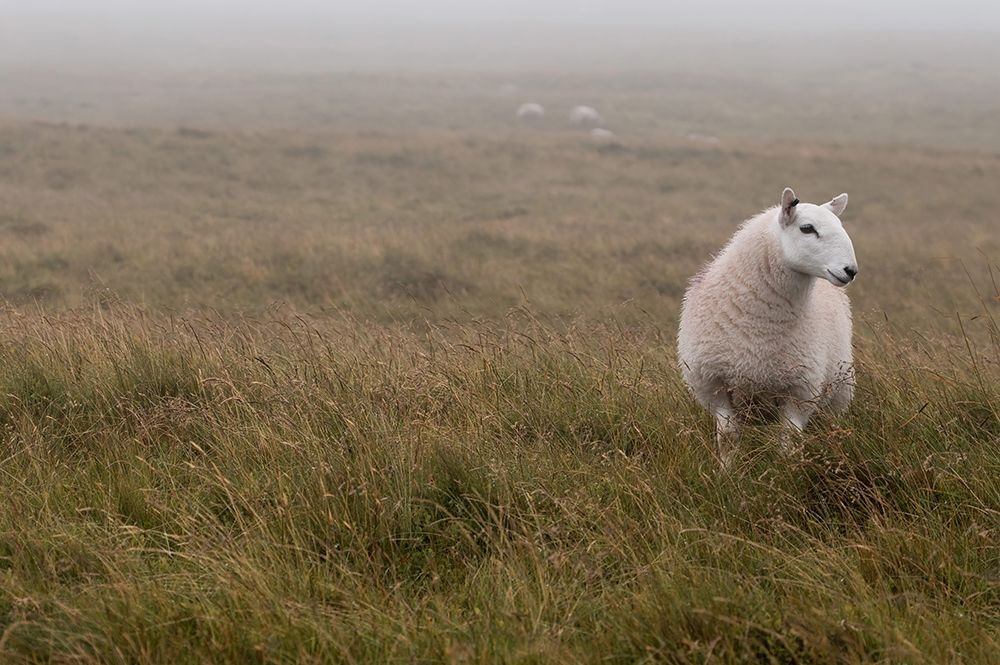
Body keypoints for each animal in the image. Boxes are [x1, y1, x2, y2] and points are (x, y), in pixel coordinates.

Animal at [676, 188, 859, 467]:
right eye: (807, 228)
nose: (850, 270)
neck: (761, 330)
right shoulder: (713, 383)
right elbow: (728, 436)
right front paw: (726, 472)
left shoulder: (800, 390)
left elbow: (789, 438)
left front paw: (786, 471)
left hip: (839, 392)